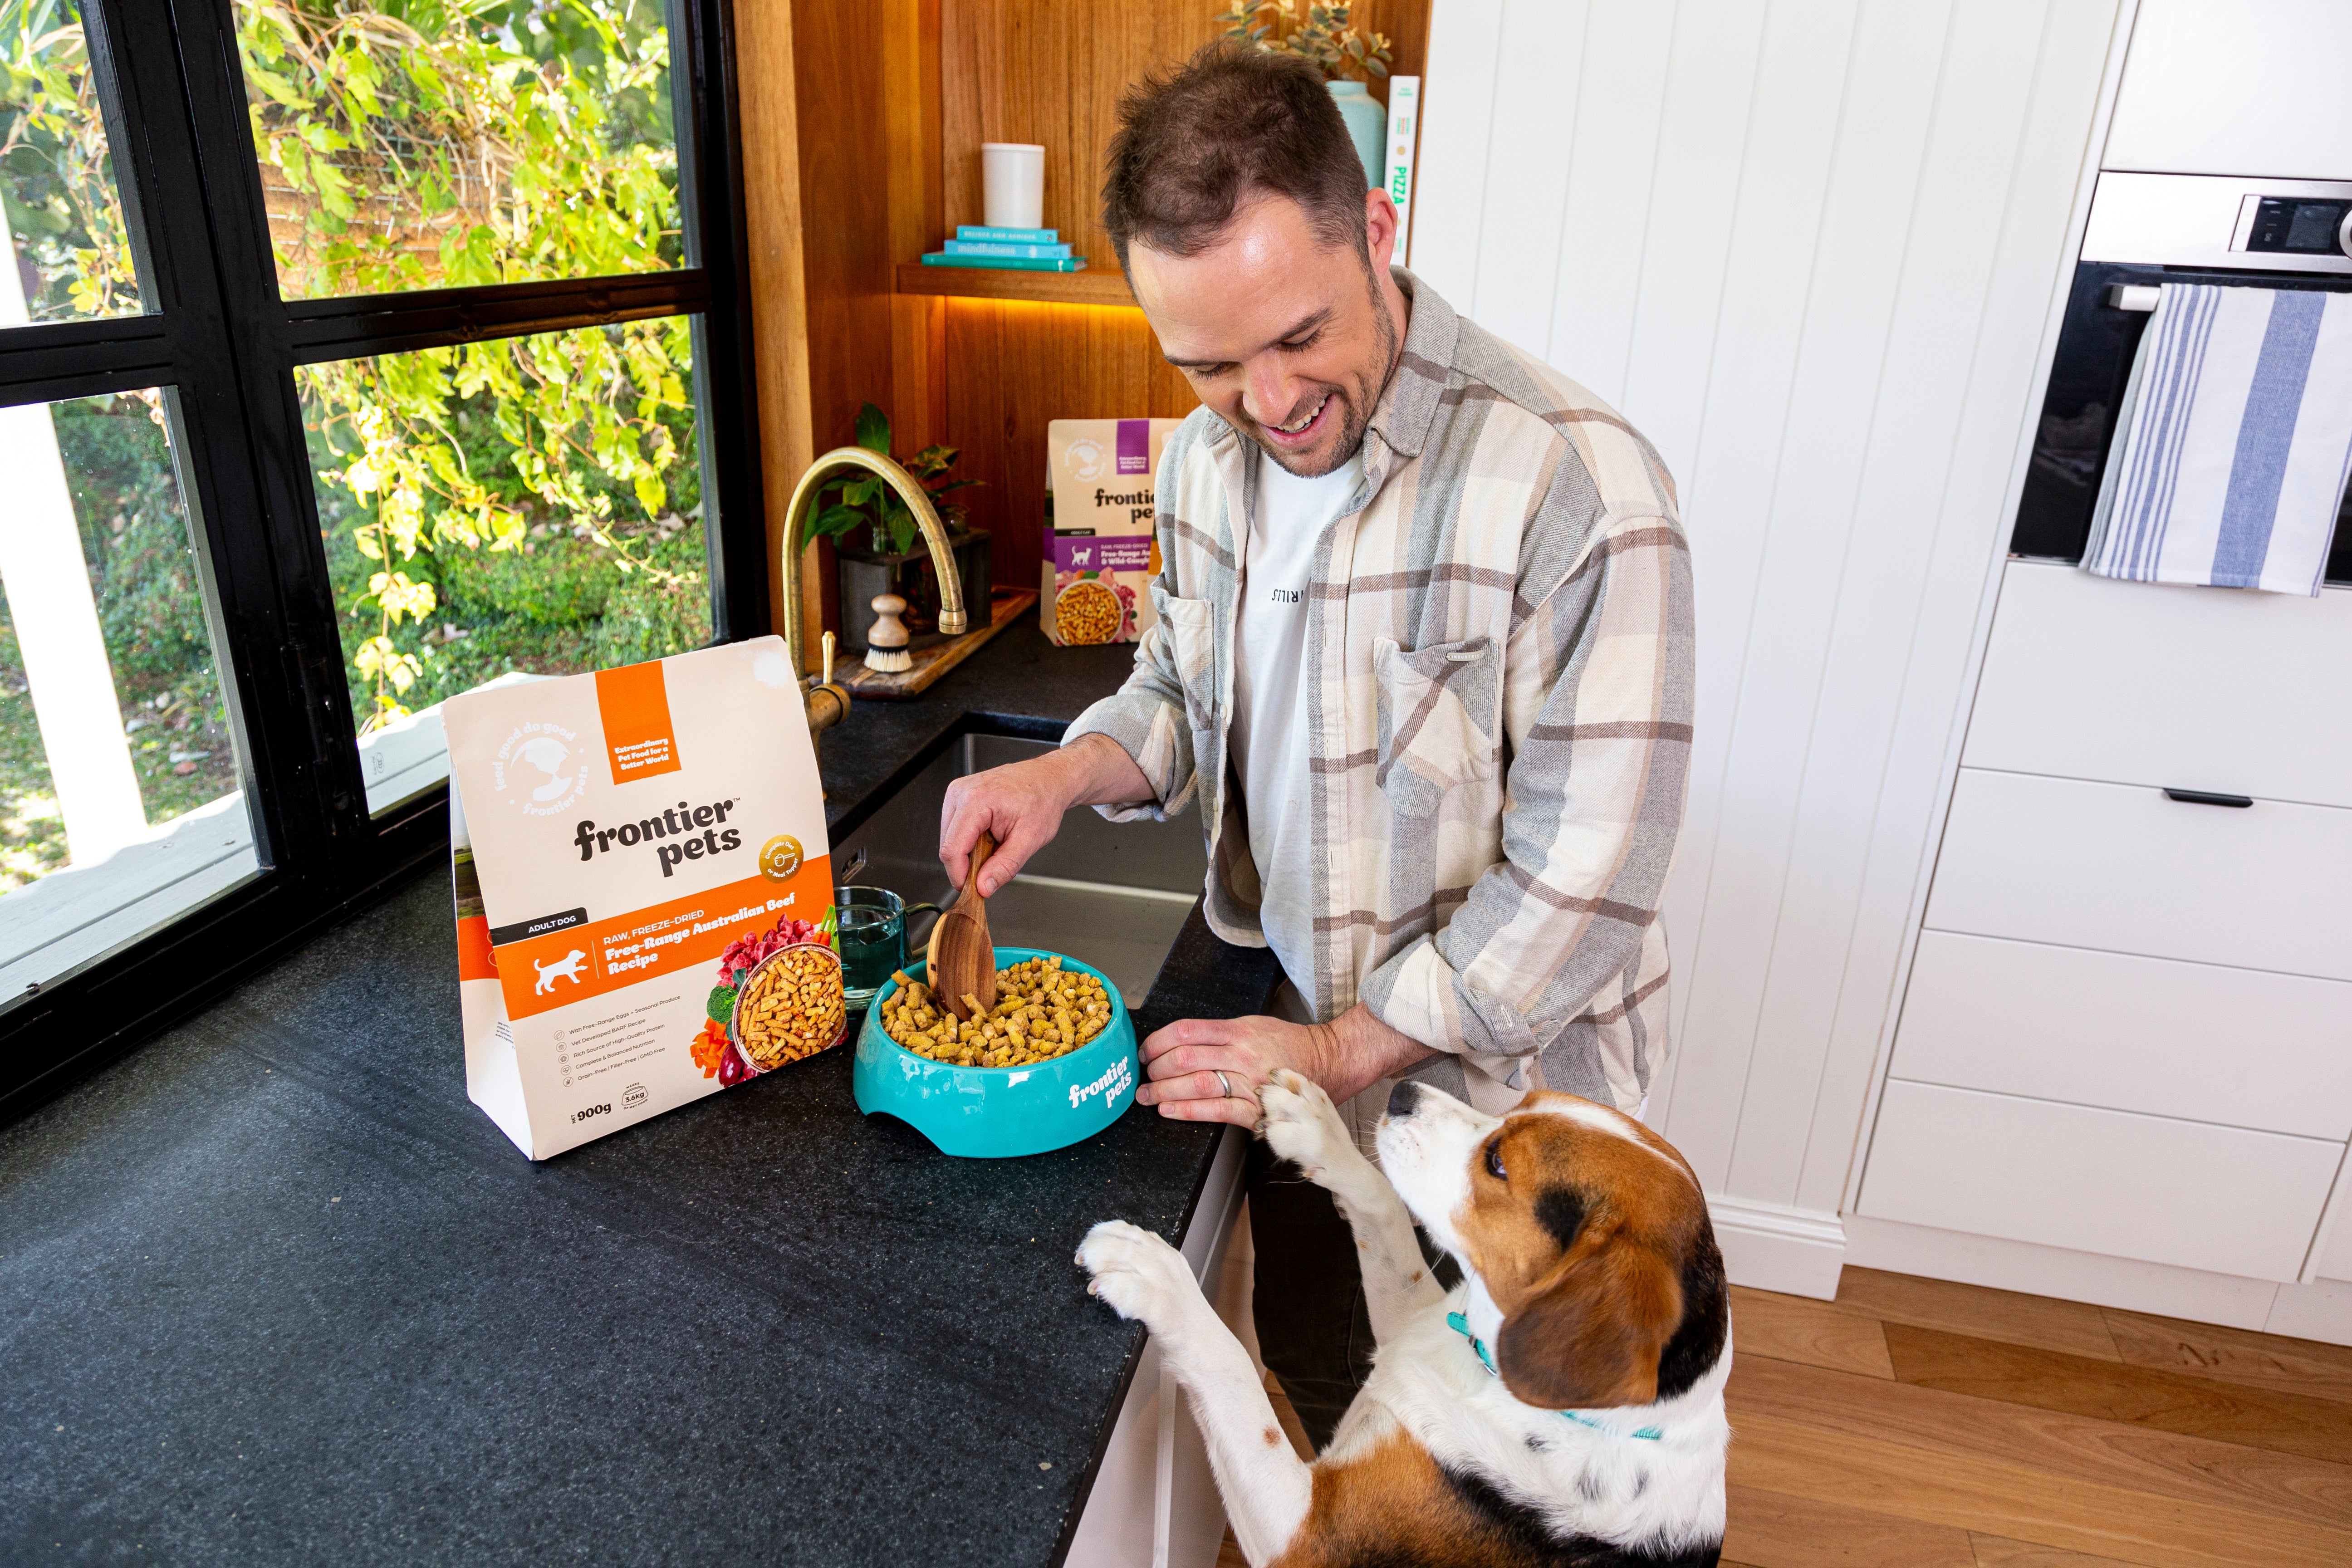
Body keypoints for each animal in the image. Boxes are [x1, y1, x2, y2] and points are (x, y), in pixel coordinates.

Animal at [1077, 1072, 1731, 1561]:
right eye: (1520, 1103)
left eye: (1497, 1163)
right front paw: (1318, 1131)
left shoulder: (1306, 1536)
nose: (1402, 1093)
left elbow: (1234, 1370)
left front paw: (1155, 1274)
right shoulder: (1406, 1324)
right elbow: (1384, 1206)